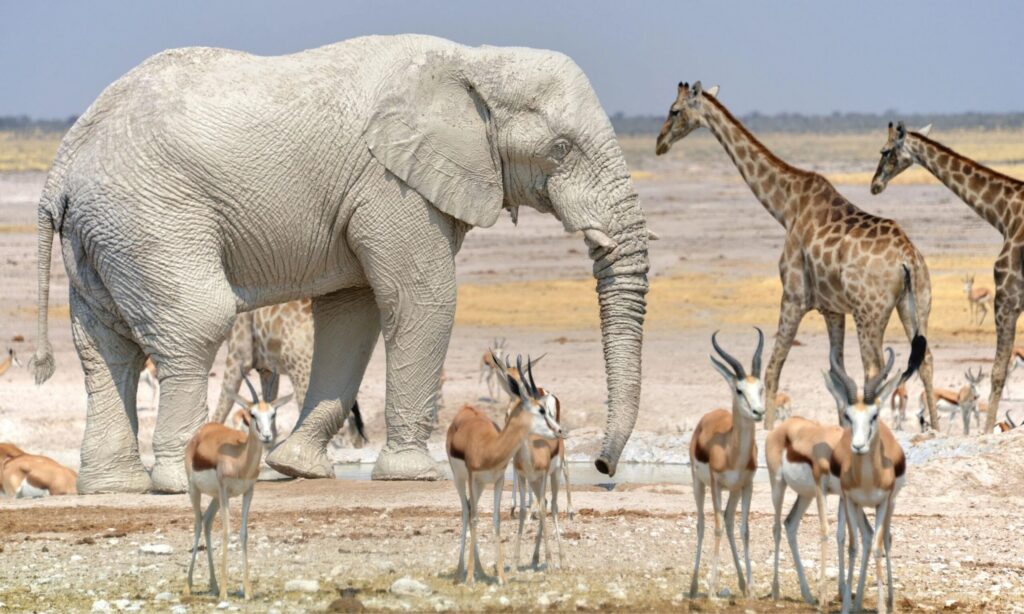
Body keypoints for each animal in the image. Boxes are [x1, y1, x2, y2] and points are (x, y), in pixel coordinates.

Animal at [30, 34, 650, 493]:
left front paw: (297, 468)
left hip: (105, 234)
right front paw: (413, 475)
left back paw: (112, 487)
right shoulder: (393, 184)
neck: (475, 59)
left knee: (104, 346)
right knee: (195, 324)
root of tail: (61, 168)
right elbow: (420, 300)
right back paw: (181, 482)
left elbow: (353, 315)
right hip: (152, 220)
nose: (602, 467)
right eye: (561, 149)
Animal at [656, 81, 938, 429]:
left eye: (674, 110)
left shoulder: (793, 296)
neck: (786, 207)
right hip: (914, 303)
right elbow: (837, 373)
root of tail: (908, 258)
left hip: (870, 313)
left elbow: (773, 368)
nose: (659, 143)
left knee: (875, 369)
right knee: (925, 358)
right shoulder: (833, 309)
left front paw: (767, 426)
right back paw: (936, 428)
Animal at [871, 121, 1024, 432]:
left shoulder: (1007, 295)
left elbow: (997, 371)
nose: (874, 185)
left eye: (885, 150)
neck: (1005, 215)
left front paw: (987, 430)